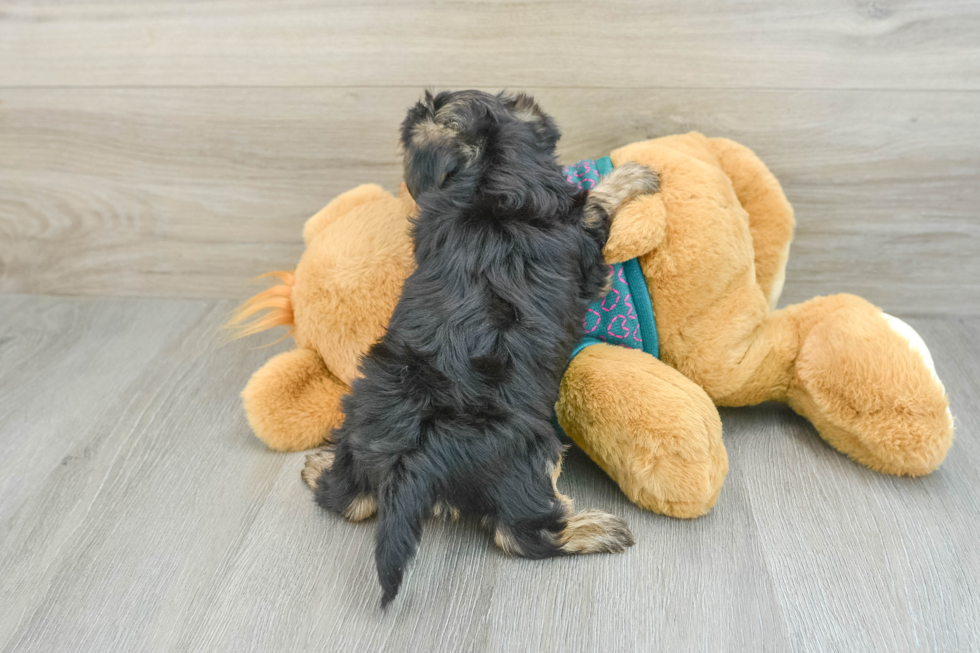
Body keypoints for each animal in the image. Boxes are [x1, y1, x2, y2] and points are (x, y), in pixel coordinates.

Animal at [304, 90, 660, 608]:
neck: (487, 176)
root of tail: (414, 455)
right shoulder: (582, 239)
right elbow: (596, 203)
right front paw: (633, 176)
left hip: (362, 424)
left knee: (350, 500)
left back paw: (317, 468)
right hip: (530, 455)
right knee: (521, 535)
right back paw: (596, 529)